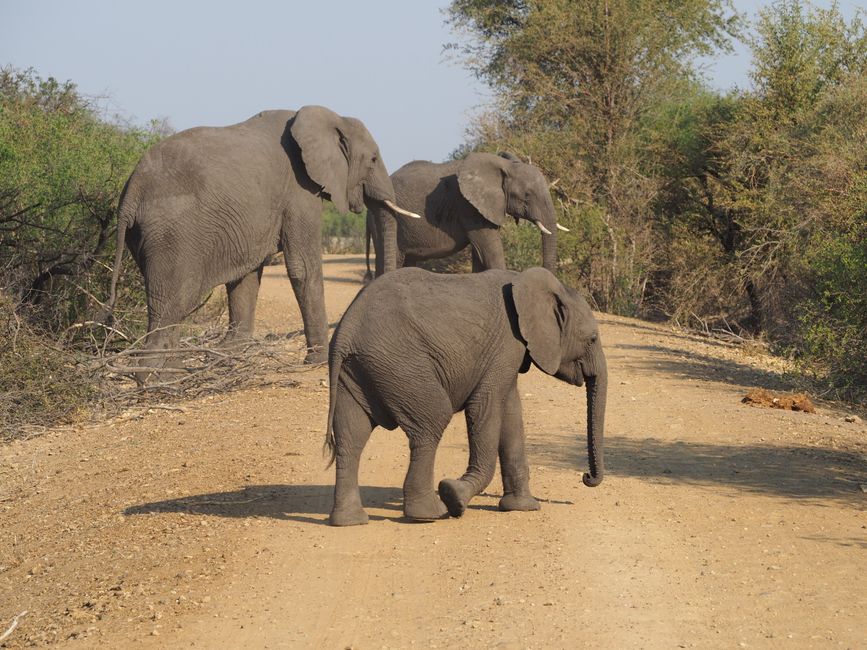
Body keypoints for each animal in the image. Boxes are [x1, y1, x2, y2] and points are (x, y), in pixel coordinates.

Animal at [107, 104, 418, 380]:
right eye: (374, 159)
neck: (328, 117)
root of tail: (131, 190)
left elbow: (246, 276)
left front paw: (233, 354)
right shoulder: (299, 190)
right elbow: (302, 268)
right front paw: (317, 361)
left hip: (144, 236)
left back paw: (177, 371)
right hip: (172, 235)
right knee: (173, 300)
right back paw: (157, 379)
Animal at [322, 266, 608, 524]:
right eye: (592, 339)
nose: (586, 477)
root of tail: (345, 331)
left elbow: (511, 414)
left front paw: (522, 508)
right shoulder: (506, 344)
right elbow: (485, 407)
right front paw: (454, 496)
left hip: (359, 368)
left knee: (351, 437)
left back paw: (350, 521)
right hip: (399, 363)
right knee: (432, 420)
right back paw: (430, 514)